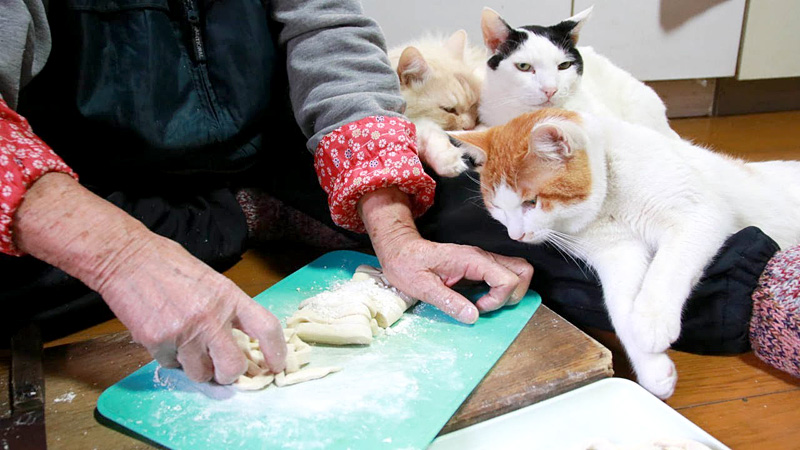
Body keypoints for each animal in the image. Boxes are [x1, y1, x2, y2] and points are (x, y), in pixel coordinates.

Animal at [454, 109, 800, 398]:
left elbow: (665, 270)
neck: (611, 199)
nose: (516, 235)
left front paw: (651, 321)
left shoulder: (697, 215)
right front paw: (653, 369)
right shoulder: (618, 254)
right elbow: (620, 305)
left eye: (531, 202)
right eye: (497, 207)